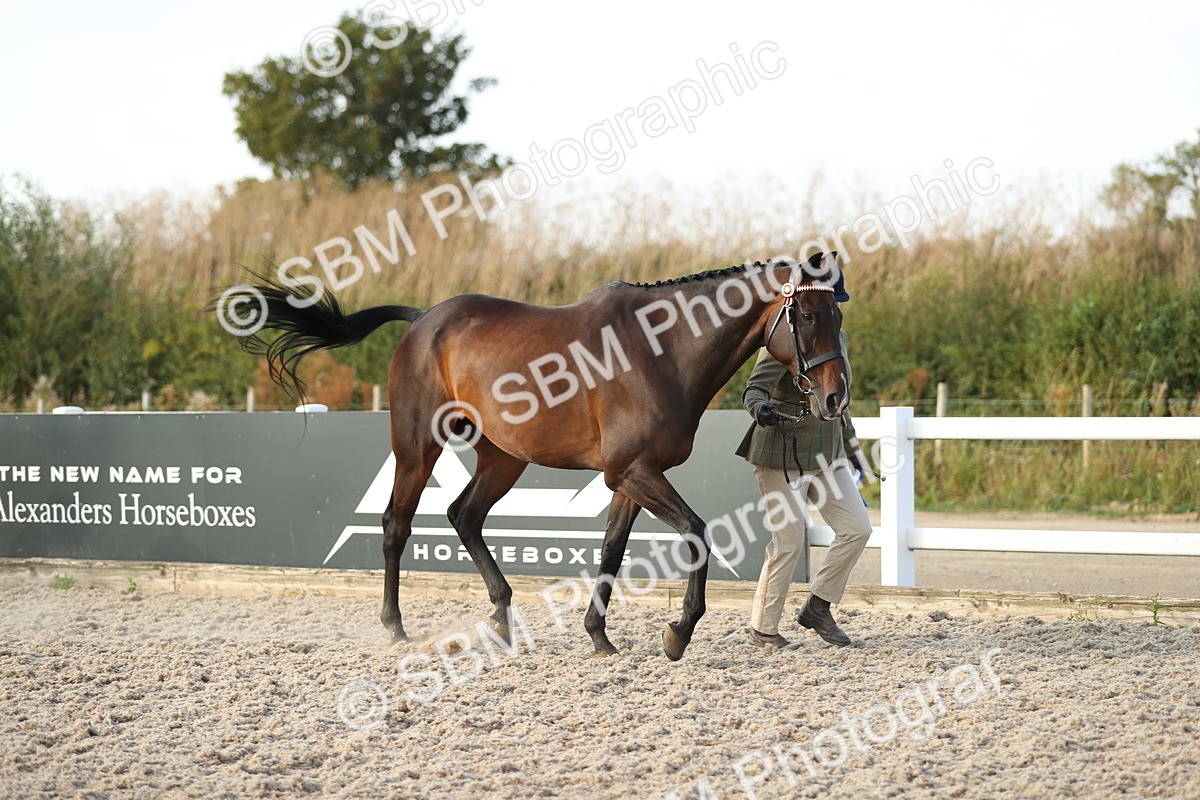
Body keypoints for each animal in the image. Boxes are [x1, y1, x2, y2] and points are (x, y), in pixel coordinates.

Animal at [232, 251, 848, 660]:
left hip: (503, 458)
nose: (835, 398)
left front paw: (600, 637)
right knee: (396, 525)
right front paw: (679, 632)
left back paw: (502, 618)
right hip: (417, 448)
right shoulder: (633, 472)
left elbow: (611, 551)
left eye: (837, 316)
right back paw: (396, 627)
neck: (661, 351)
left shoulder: (627, 478)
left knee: (464, 515)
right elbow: (696, 531)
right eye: (808, 317)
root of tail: (424, 319)